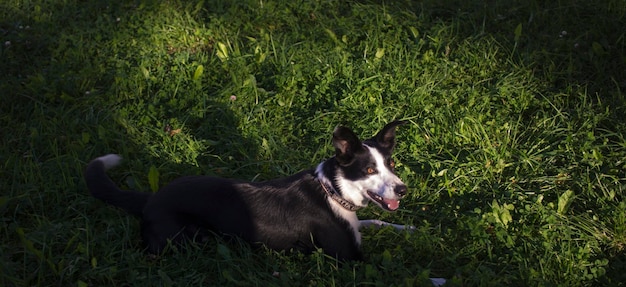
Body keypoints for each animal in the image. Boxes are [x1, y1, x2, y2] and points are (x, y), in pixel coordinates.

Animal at [84, 120, 414, 262]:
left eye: (390, 163)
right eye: (369, 170)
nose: (402, 190)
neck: (333, 189)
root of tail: (152, 198)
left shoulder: (357, 225)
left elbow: (379, 221)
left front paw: (410, 228)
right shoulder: (349, 257)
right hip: (186, 238)